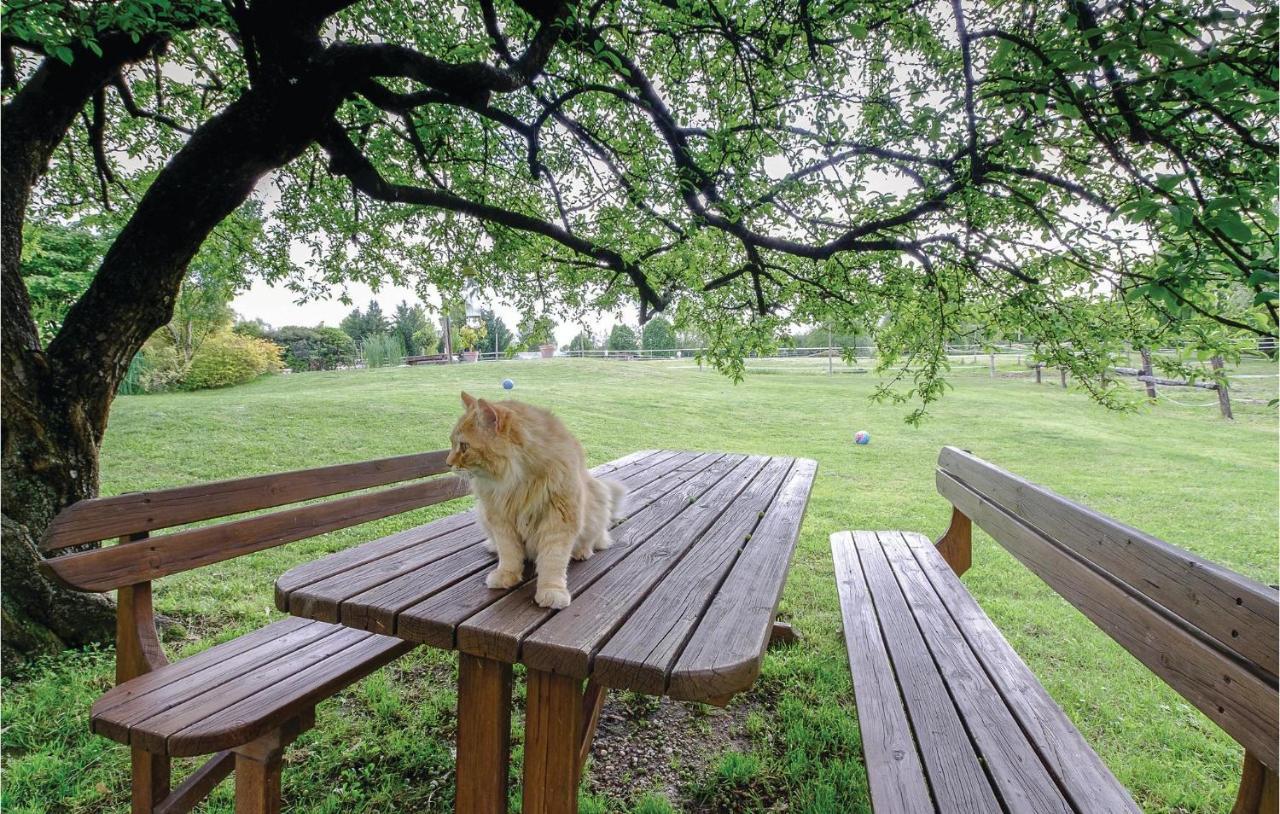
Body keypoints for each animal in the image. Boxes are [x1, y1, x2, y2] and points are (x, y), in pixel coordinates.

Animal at [448, 391, 627, 606]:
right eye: (452, 443)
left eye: (464, 446)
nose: (448, 463)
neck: (517, 481)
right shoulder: (500, 520)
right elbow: (509, 554)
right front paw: (506, 575)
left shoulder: (559, 519)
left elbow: (553, 561)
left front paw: (552, 591)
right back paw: (492, 546)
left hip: (598, 499)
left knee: (595, 539)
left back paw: (581, 552)